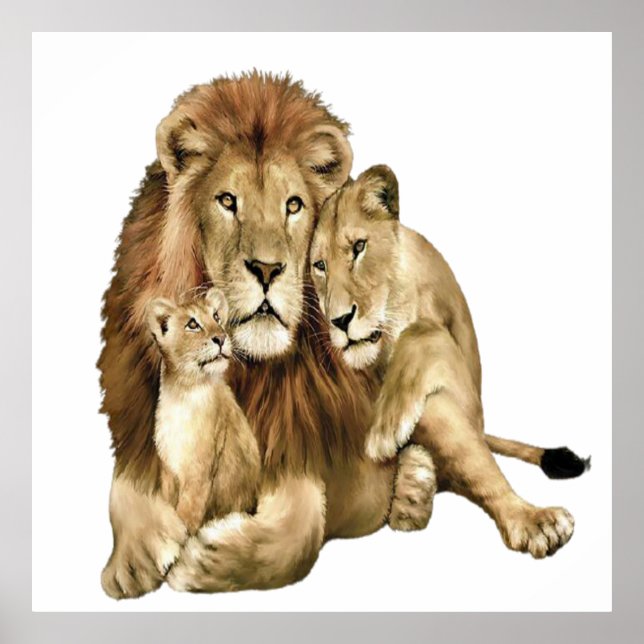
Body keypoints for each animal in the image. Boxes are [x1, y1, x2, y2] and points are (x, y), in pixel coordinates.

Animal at [99, 73, 437, 598]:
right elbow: (126, 488)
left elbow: (303, 524)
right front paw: (130, 559)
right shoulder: (139, 431)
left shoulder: (324, 458)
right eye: (227, 201)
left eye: (293, 205)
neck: (248, 371)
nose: (266, 268)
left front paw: (206, 559)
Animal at [310, 164, 590, 558]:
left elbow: (422, 332)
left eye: (359, 248)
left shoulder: (462, 378)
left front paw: (384, 431)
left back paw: (534, 521)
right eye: (319, 265)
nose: (339, 321)